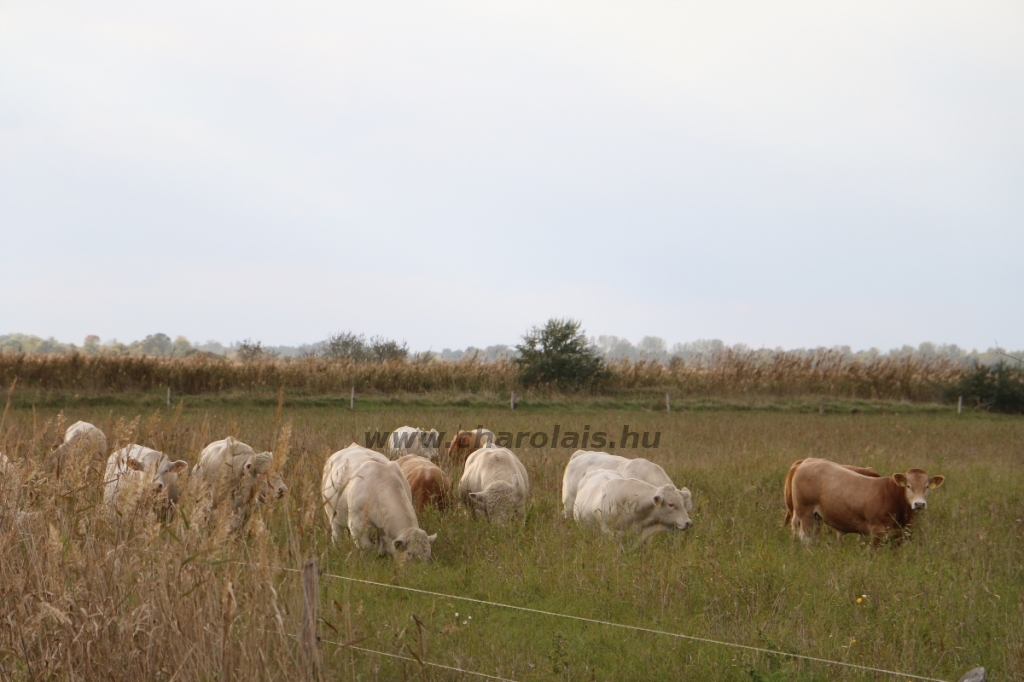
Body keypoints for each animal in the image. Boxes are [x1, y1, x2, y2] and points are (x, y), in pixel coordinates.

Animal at [790, 454, 942, 544]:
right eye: (908, 486)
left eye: (927, 486)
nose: (919, 504)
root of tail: (807, 461)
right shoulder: (877, 531)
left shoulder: (901, 533)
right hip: (806, 514)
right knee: (807, 539)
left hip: (816, 517)